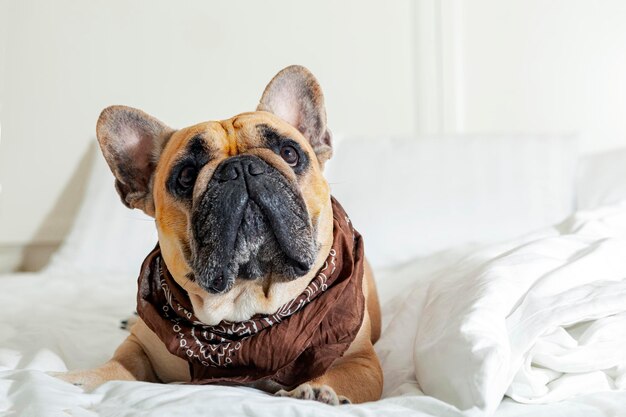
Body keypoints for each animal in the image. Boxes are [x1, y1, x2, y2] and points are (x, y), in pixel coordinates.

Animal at [57, 65, 380, 404]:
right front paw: (79, 379)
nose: (240, 167)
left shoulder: (361, 362)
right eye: (186, 176)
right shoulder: (140, 347)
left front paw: (317, 390)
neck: (245, 306)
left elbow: (337, 374)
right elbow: (120, 364)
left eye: (290, 153)